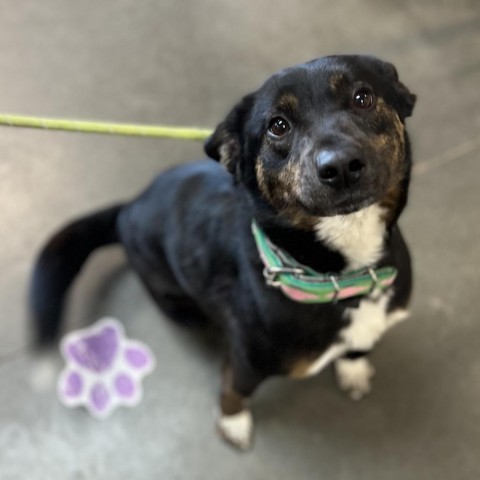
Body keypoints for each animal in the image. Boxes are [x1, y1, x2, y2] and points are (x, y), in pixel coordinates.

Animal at [31, 55, 416, 450]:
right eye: (278, 126)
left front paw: (353, 368)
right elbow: (234, 392)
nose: (339, 166)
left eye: (363, 97)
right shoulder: (246, 363)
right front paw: (232, 425)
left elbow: (359, 346)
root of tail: (128, 208)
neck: (342, 277)